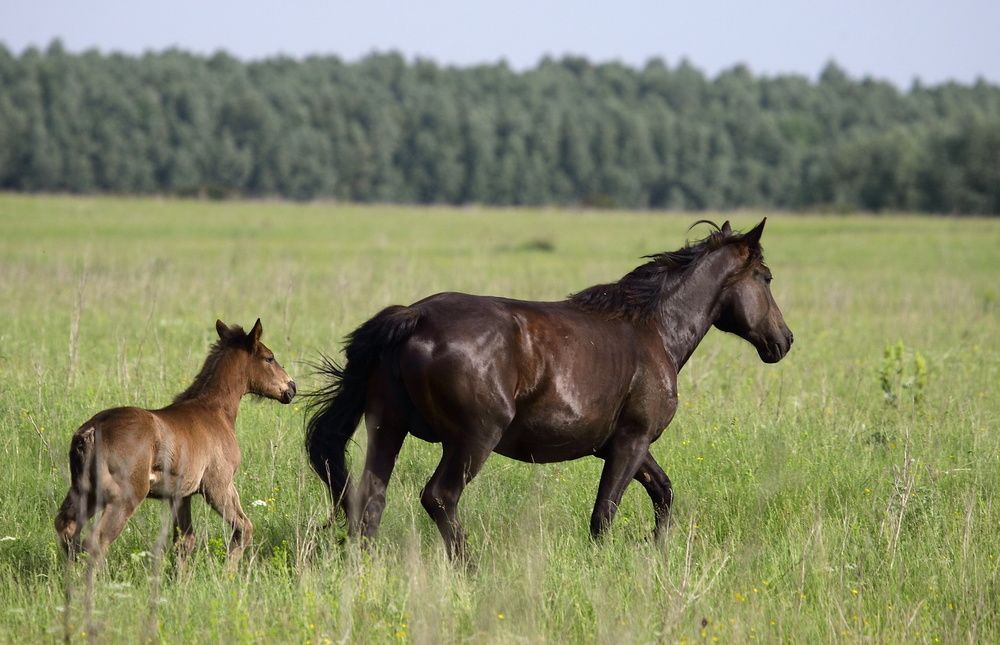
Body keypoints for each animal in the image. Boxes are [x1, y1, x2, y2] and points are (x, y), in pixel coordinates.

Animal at [55, 319, 297, 565]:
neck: (215, 412)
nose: (291, 387)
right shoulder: (218, 485)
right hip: (123, 496)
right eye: (269, 357)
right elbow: (243, 528)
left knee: (66, 527)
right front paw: (230, 570)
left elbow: (184, 542)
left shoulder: (180, 495)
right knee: (96, 541)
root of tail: (92, 430)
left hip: (85, 490)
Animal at [306, 219, 792, 559]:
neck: (653, 330)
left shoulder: (620, 444)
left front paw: (657, 550)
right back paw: (470, 568)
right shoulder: (631, 442)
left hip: (386, 428)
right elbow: (605, 513)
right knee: (439, 498)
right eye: (766, 278)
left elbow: (664, 493)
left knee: (370, 499)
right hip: (472, 441)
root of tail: (414, 316)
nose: (784, 341)